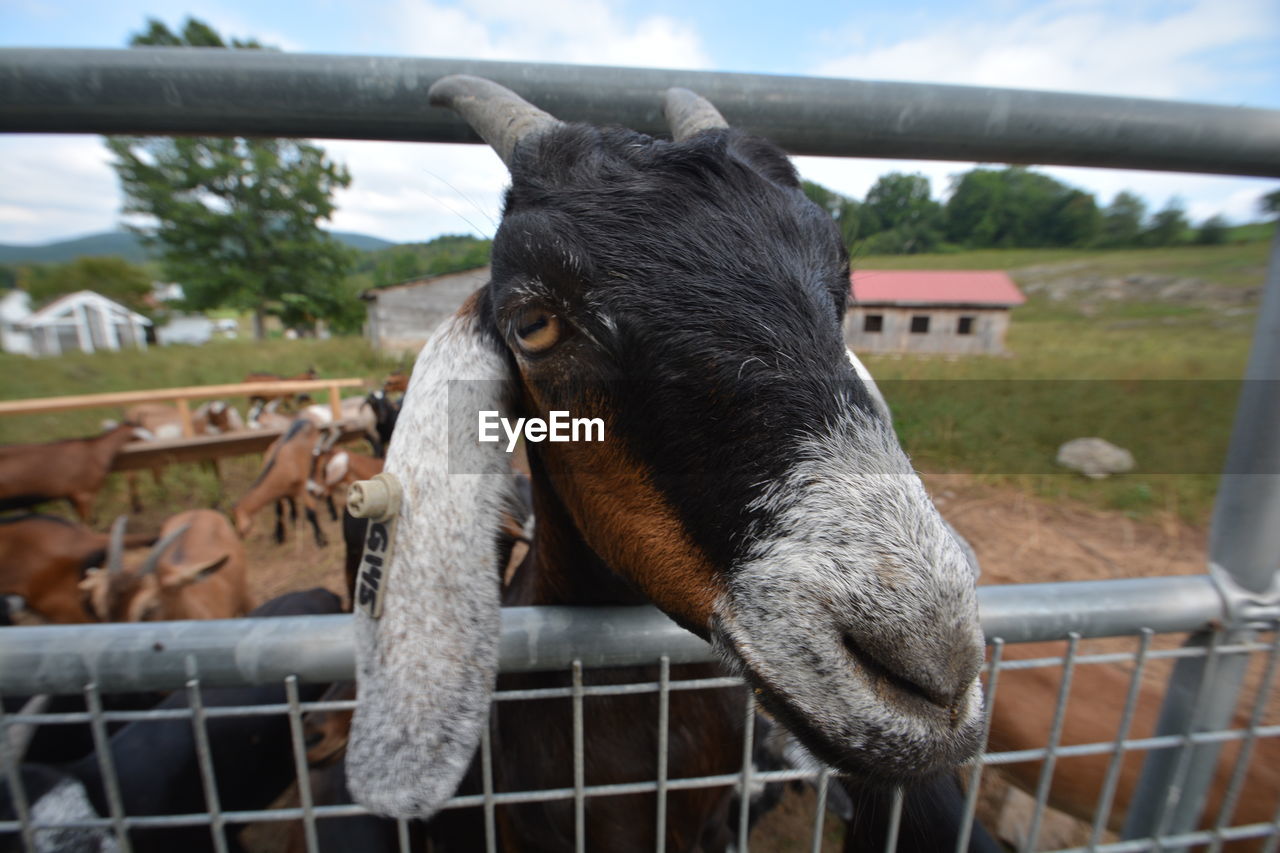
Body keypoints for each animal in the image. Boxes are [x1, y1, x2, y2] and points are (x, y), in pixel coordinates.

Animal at [232, 417, 327, 545]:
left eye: (244, 529)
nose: (239, 540)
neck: (283, 464)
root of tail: (304, 419)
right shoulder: (279, 490)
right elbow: (279, 511)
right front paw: (279, 535)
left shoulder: (303, 486)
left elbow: (311, 512)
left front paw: (321, 540)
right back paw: (293, 516)